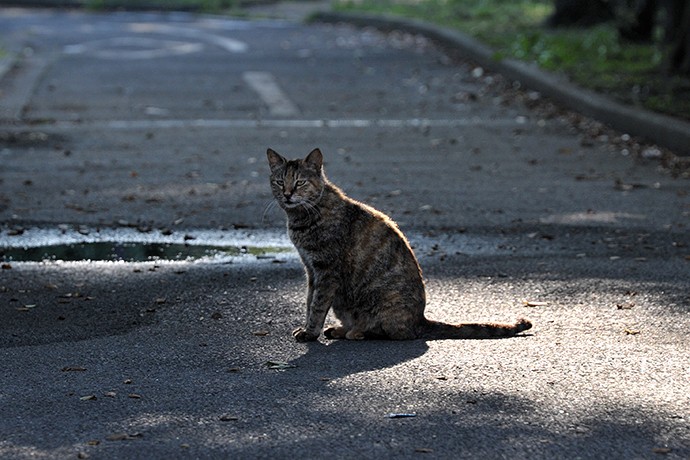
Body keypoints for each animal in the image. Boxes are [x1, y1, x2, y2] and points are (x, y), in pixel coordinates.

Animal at [264, 148, 532, 342]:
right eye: (279, 182)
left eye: (300, 182)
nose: (287, 194)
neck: (302, 218)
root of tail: (420, 320)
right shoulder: (311, 270)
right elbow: (310, 302)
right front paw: (308, 328)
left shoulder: (326, 271)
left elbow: (318, 305)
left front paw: (310, 333)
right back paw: (341, 329)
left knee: (389, 333)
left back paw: (356, 332)